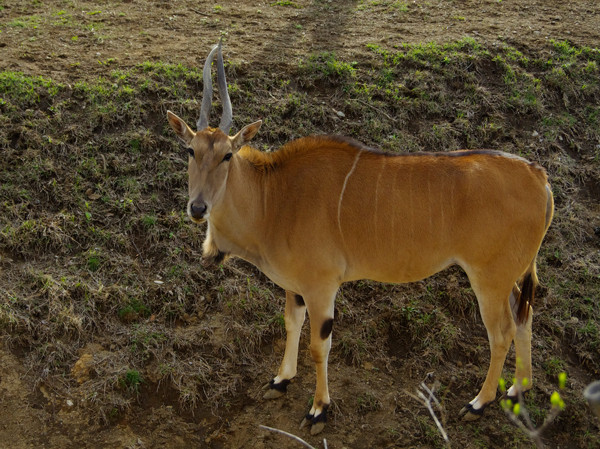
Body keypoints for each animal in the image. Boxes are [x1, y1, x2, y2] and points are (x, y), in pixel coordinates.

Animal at [166, 42, 556, 434]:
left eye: (227, 155)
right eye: (190, 151)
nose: (197, 207)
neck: (274, 197)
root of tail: (538, 175)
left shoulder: (322, 287)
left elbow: (318, 346)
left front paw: (319, 409)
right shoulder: (296, 286)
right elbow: (291, 323)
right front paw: (281, 380)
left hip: (489, 278)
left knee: (502, 331)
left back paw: (479, 402)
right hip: (506, 278)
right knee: (525, 314)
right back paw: (518, 389)